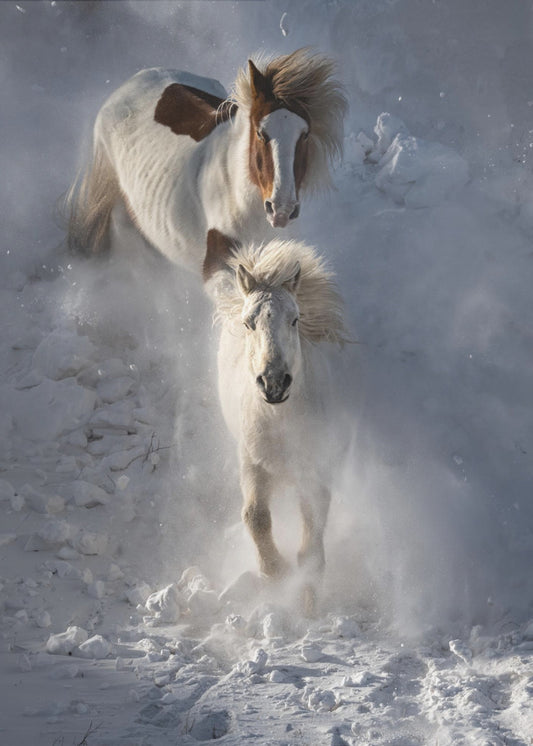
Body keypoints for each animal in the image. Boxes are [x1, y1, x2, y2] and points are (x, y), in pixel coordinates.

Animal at [207, 238, 348, 614]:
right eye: (248, 323)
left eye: (295, 319)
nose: (274, 383)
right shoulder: (252, 463)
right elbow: (255, 516)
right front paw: (275, 572)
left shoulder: (315, 471)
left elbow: (312, 530)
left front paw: (308, 598)